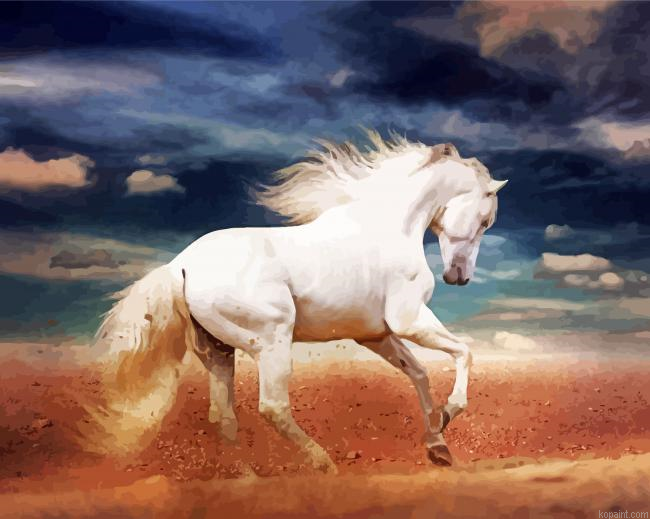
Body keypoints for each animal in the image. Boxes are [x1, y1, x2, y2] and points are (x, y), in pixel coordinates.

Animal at [88, 130, 507, 472]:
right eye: (485, 221)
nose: (459, 276)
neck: (386, 225)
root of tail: (181, 265)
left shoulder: (374, 335)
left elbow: (419, 373)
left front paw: (437, 444)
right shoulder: (409, 319)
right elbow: (464, 353)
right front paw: (449, 414)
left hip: (219, 352)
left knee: (223, 416)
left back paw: (247, 479)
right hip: (272, 341)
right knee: (272, 407)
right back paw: (323, 464)